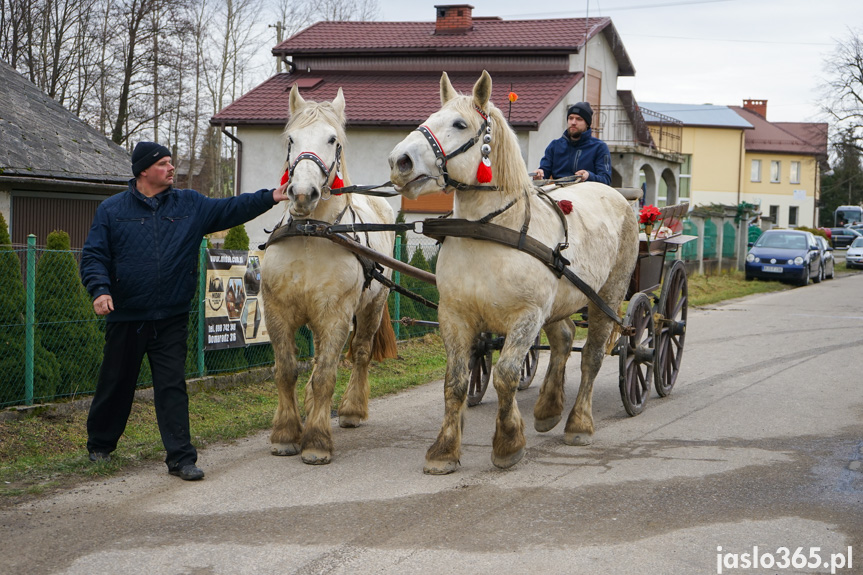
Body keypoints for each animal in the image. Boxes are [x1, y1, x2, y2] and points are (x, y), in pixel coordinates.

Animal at [264, 84, 398, 464]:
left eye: (333, 139)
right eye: (291, 139)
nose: (302, 194)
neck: (312, 233)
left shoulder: (335, 315)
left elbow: (325, 375)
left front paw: (316, 441)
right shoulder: (277, 311)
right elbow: (286, 371)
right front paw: (286, 433)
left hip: (371, 308)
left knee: (362, 353)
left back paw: (351, 410)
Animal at [388, 72, 636, 474]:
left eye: (460, 124)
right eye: (429, 116)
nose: (400, 161)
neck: (488, 230)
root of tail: (614, 193)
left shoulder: (526, 316)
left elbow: (506, 375)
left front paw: (507, 444)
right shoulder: (454, 316)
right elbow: (455, 382)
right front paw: (444, 450)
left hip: (608, 297)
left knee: (592, 356)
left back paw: (578, 424)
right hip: (562, 301)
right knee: (564, 340)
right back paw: (549, 409)